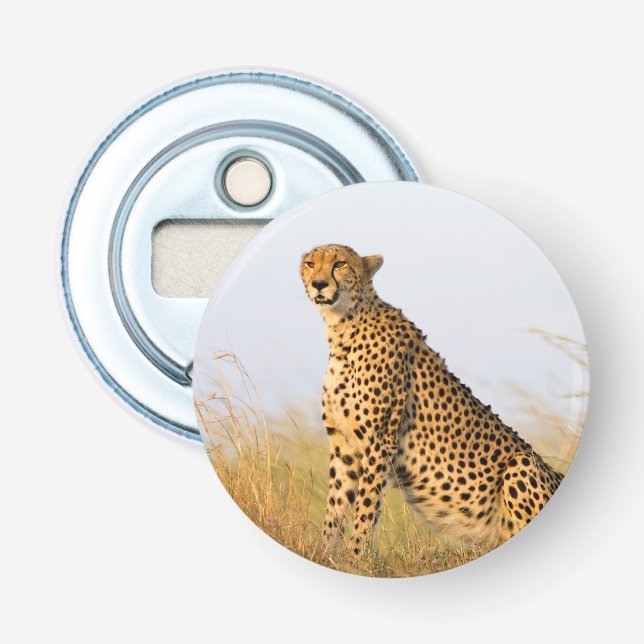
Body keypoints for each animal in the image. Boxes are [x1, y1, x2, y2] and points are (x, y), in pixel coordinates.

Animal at [300, 243, 563, 556]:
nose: (319, 284)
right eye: (310, 264)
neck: (342, 328)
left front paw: (356, 557)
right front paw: (325, 554)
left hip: (520, 463)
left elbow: (365, 508)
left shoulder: (378, 442)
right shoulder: (343, 444)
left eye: (339, 264)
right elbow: (336, 505)